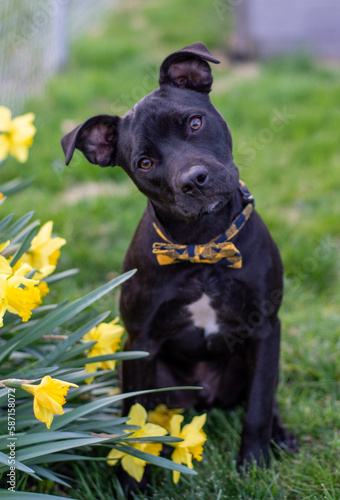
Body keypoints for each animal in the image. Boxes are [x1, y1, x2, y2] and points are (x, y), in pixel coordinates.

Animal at [61, 43, 298, 468]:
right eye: (145, 163)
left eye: (194, 123)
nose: (194, 180)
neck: (201, 246)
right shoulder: (140, 342)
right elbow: (133, 425)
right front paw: (131, 478)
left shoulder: (266, 328)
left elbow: (258, 406)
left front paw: (254, 464)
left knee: (265, 399)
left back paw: (281, 435)